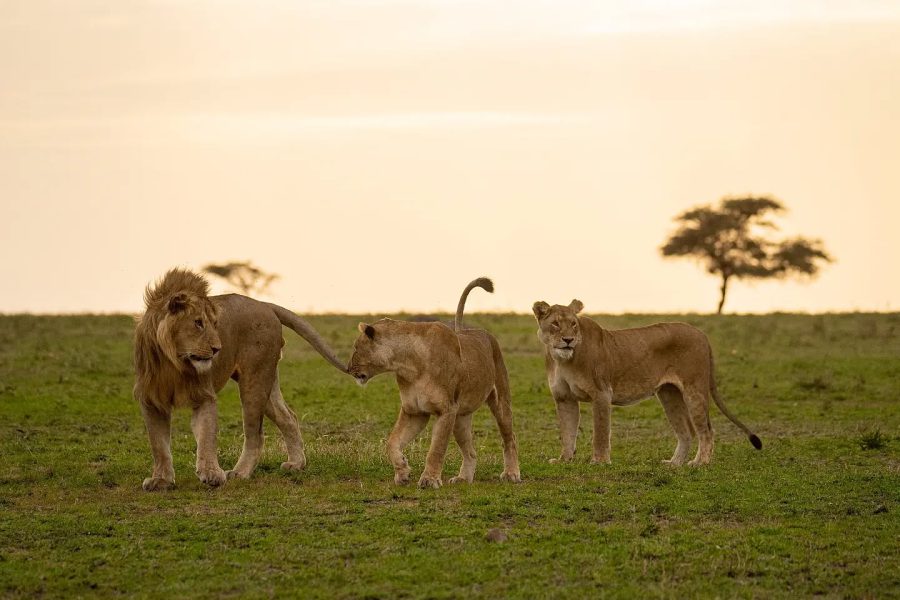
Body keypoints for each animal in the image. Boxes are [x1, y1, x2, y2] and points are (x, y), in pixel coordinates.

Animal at [133, 268, 347, 491]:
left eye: (215, 324)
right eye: (198, 323)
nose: (217, 349)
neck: (175, 362)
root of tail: (263, 304)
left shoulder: (205, 395)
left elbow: (207, 437)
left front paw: (212, 474)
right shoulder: (151, 400)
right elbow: (158, 444)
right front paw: (161, 480)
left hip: (254, 380)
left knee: (256, 434)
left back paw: (240, 472)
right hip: (267, 381)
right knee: (288, 417)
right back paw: (296, 464)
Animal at [347, 278, 521, 488]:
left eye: (356, 347)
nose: (348, 368)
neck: (407, 365)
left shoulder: (446, 410)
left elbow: (436, 449)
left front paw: (429, 479)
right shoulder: (415, 411)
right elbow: (392, 442)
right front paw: (402, 471)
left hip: (499, 402)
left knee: (509, 438)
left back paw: (511, 473)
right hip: (460, 417)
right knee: (470, 451)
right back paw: (463, 478)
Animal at [532, 299, 761, 466]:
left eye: (573, 324)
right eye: (555, 324)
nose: (568, 340)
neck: (562, 360)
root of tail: (701, 333)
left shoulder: (601, 394)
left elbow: (600, 432)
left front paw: (599, 461)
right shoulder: (564, 398)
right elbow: (567, 432)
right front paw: (564, 460)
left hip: (694, 390)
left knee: (706, 430)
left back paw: (699, 463)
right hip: (669, 394)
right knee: (686, 431)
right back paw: (673, 464)